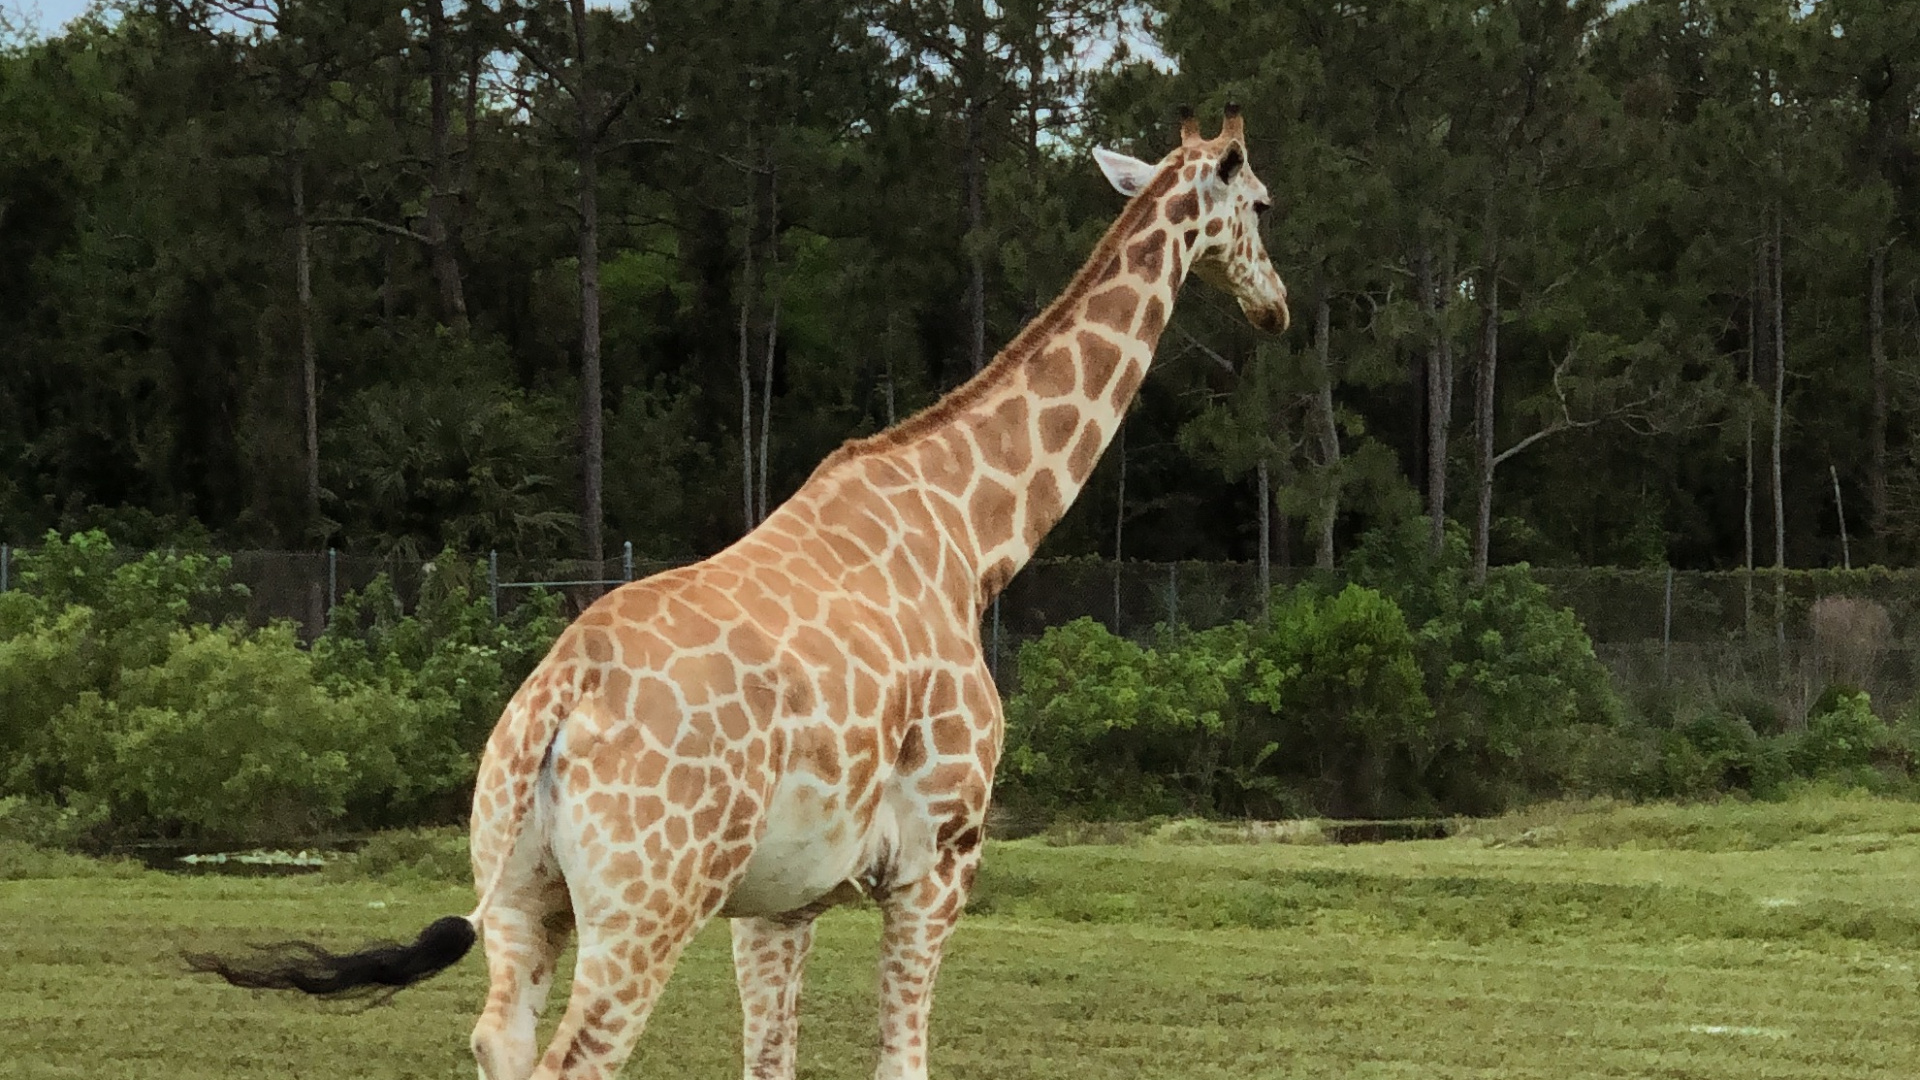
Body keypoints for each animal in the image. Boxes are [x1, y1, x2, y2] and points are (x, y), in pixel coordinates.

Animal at [189, 105, 1290, 1080]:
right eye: (1264, 204)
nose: (1274, 304)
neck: (973, 538)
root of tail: (554, 707)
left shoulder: (778, 899)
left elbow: (772, 1061)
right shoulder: (939, 861)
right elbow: (902, 1063)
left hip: (521, 894)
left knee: (498, 1040)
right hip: (645, 907)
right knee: (576, 1060)